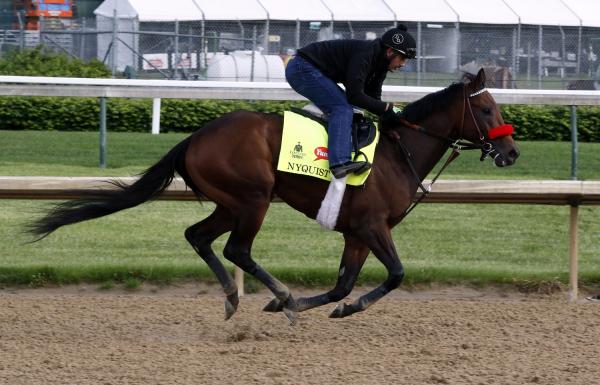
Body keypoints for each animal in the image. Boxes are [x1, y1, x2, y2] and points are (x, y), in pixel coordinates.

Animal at [31, 70, 520, 324]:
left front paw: (331, 306)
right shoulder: (372, 226)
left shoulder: (356, 233)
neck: (400, 152)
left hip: (230, 202)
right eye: (485, 108)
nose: (512, 152)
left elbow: (344, 282)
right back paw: (278, 294)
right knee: (236, 249)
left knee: (198, 236)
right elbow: (397, 274)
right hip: (254, 197)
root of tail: (193, 138)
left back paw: (235, 298)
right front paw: (313, 306)